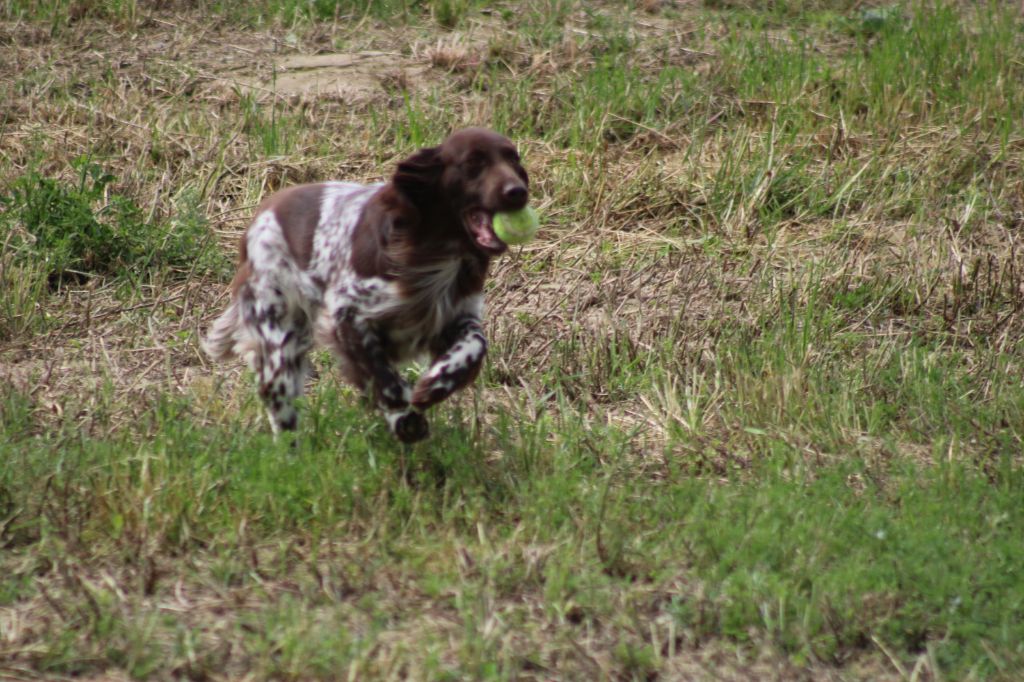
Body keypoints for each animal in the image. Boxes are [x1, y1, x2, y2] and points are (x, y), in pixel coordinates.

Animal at [203, 127, 532, 440]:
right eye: (474, 163)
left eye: (513, 160)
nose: (518, 191)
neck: (434, 251)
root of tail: (262, 213)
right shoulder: (348, 317)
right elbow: (383, 379)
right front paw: (405, 417)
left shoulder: (457, 315)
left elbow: (475, 344)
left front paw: (437, 384)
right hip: (278, 341)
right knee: (283, 416)